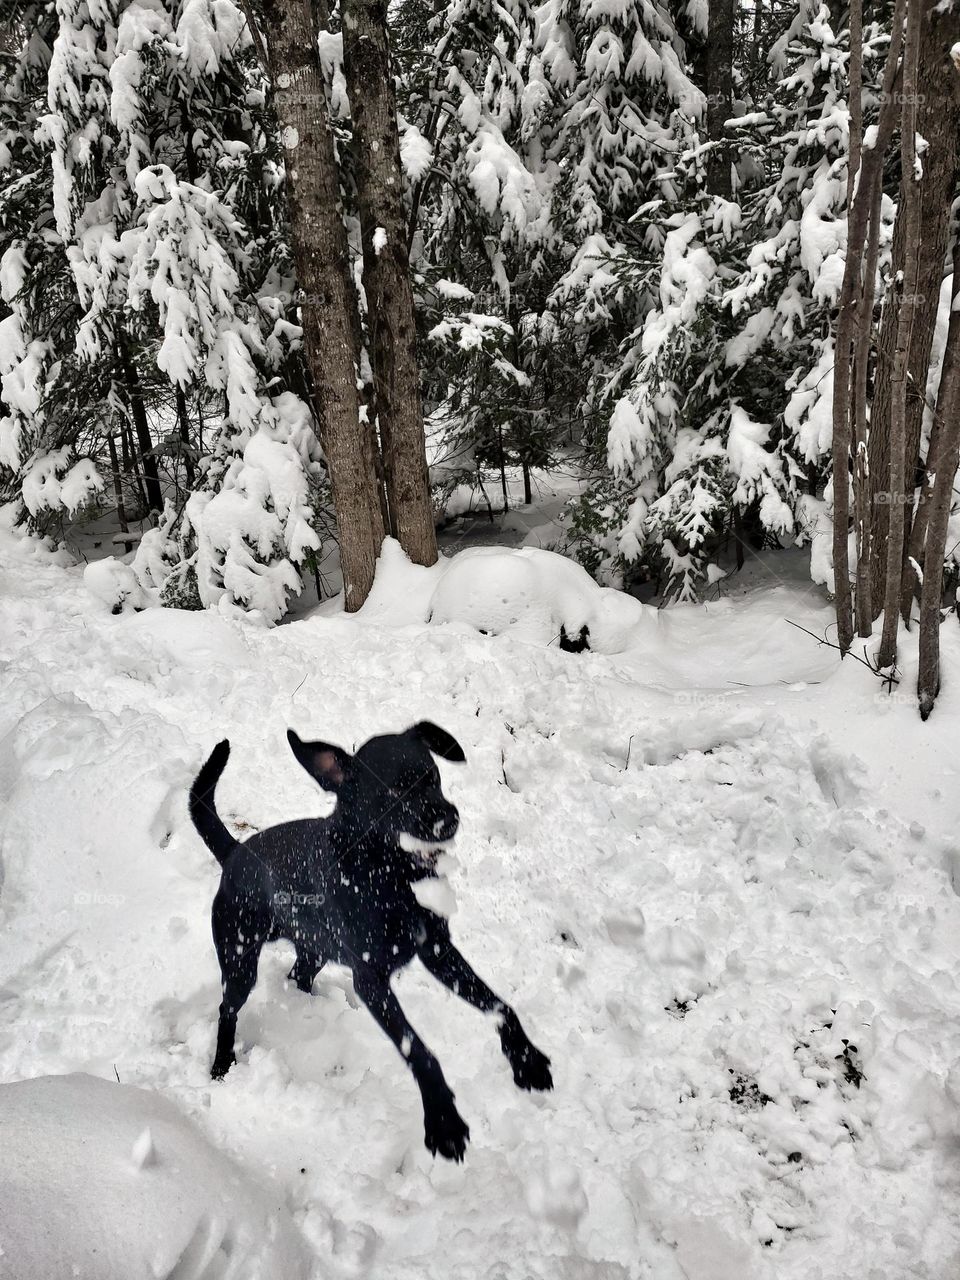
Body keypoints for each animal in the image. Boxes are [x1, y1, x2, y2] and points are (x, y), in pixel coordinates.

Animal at [189, 721, 547, 1162]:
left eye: (433, 776)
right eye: (392, 793)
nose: (448, 818)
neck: (387, 874)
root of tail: (234, 852)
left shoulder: (437, 950)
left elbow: (499, 1005)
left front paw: (528, 1062)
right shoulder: (371, 979)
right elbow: (419, 1051)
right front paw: (444, 1124)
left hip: (314, 946)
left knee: (297, 975)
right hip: (239, 955)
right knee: (228, 1008)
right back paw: (222, 1064)